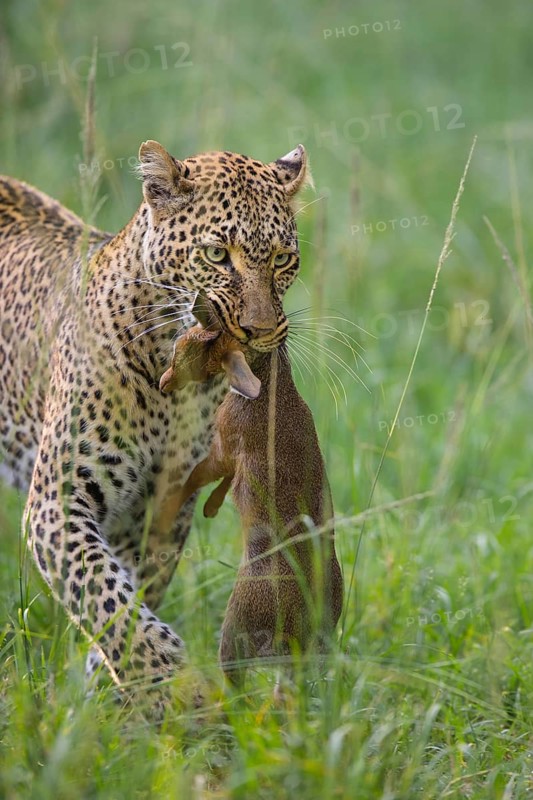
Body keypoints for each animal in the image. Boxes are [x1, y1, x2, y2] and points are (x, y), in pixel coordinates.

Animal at [0, 140, 311, 708]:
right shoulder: (57, 500)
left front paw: (111, 699)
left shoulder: (163, 509)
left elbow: (128, 593)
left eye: (282, 259)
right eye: (217, 255)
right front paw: (168, 686)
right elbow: (104, 594)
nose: (259, 332)